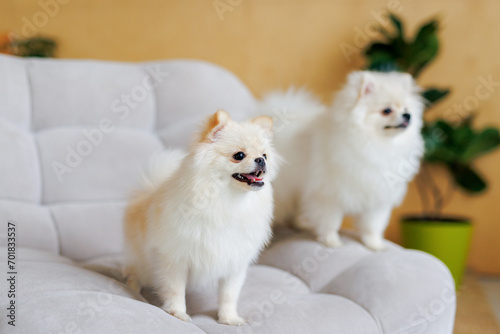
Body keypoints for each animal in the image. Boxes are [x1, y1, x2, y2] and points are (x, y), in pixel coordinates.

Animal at [121, 111, 278, 324]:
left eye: (265, 155)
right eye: (239, 155)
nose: (261, 160)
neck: (227, 200)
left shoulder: (234, 263)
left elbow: (229, 295)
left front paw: (229, 318)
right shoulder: (174, 259)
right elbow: (175, 289)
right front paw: (177, 312)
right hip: (143, 262)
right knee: (135, 273)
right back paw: (133, 289)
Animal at [260, 72, 424, 252]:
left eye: (406, 109)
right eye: (386, 110)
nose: (407, 116)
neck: (376, 144)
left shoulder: (377, 199)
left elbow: (372, 226)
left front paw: (375, 244)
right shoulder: (328, 195)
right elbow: (330, 221)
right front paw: (331, 241)